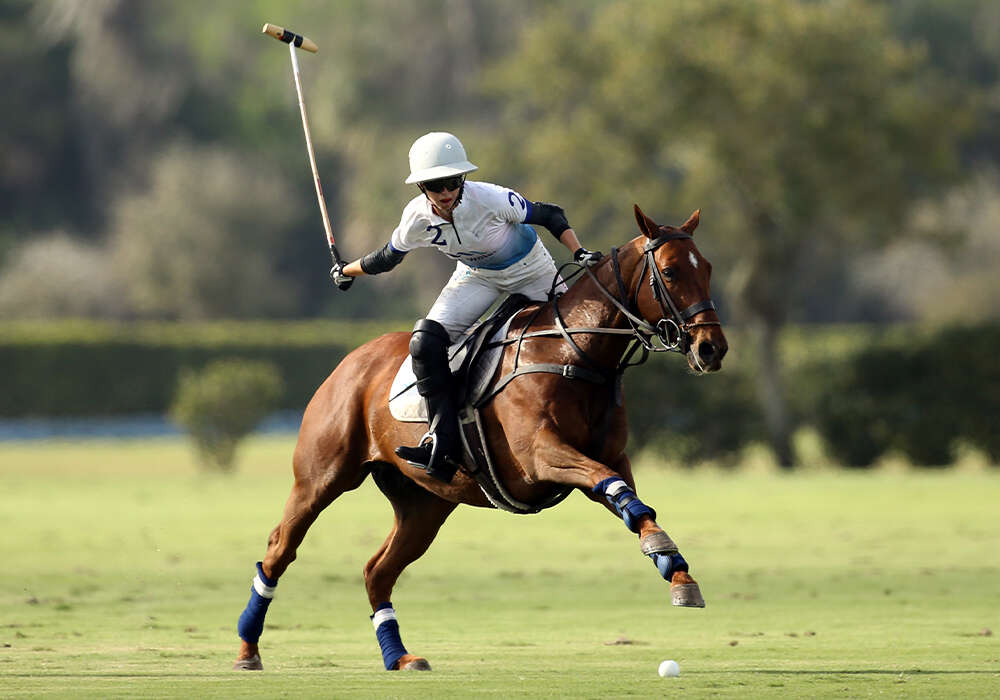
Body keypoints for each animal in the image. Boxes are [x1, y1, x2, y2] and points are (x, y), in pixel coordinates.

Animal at [238, 205, 732, 668]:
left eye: (707, 267)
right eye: (670, 271)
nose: (711, 348)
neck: (573, 351)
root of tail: (349, 360)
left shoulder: (610, 456)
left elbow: (628, 498)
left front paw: (677, 572)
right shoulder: (541, 456)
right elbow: (615, 489)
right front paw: (666, 554)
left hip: (424, 503)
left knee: (377, 570)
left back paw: (400, 657)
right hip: (320, 478)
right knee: (279, 550)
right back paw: (248, 648)